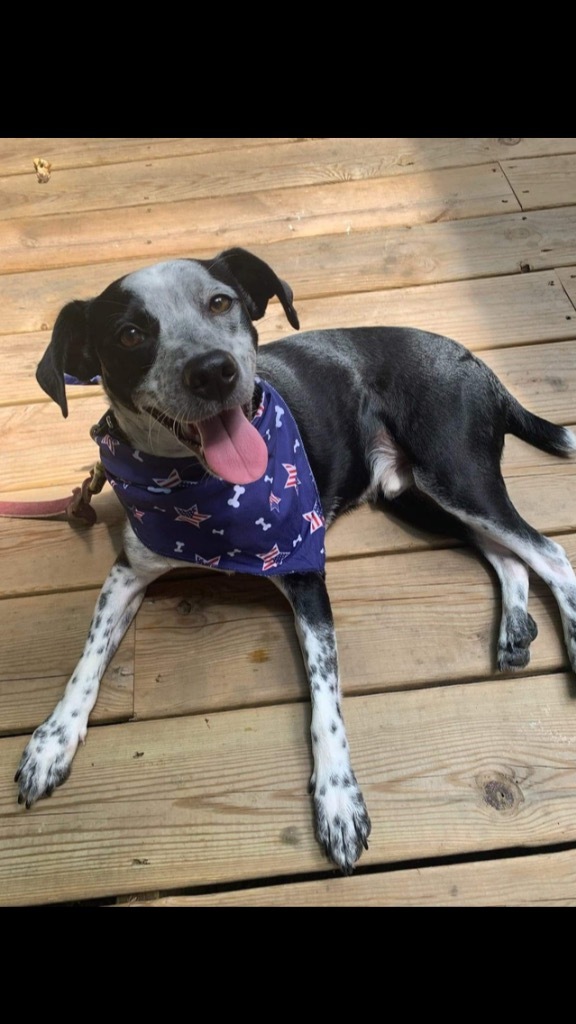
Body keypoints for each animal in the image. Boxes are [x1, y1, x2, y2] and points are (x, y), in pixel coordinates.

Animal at [12, 245, 573, 872]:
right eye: (130, 333)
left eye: (220, 302)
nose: (213, 370)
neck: (201, 491)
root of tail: (480, 366)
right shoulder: (128, 572)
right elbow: (86, 660)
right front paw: (52, 741)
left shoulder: (305, 572)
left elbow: (326, 700)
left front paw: (338, 800)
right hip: (417, 495)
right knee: (510, 555)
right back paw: (514, 630)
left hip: (455, 473)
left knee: (551, 552)